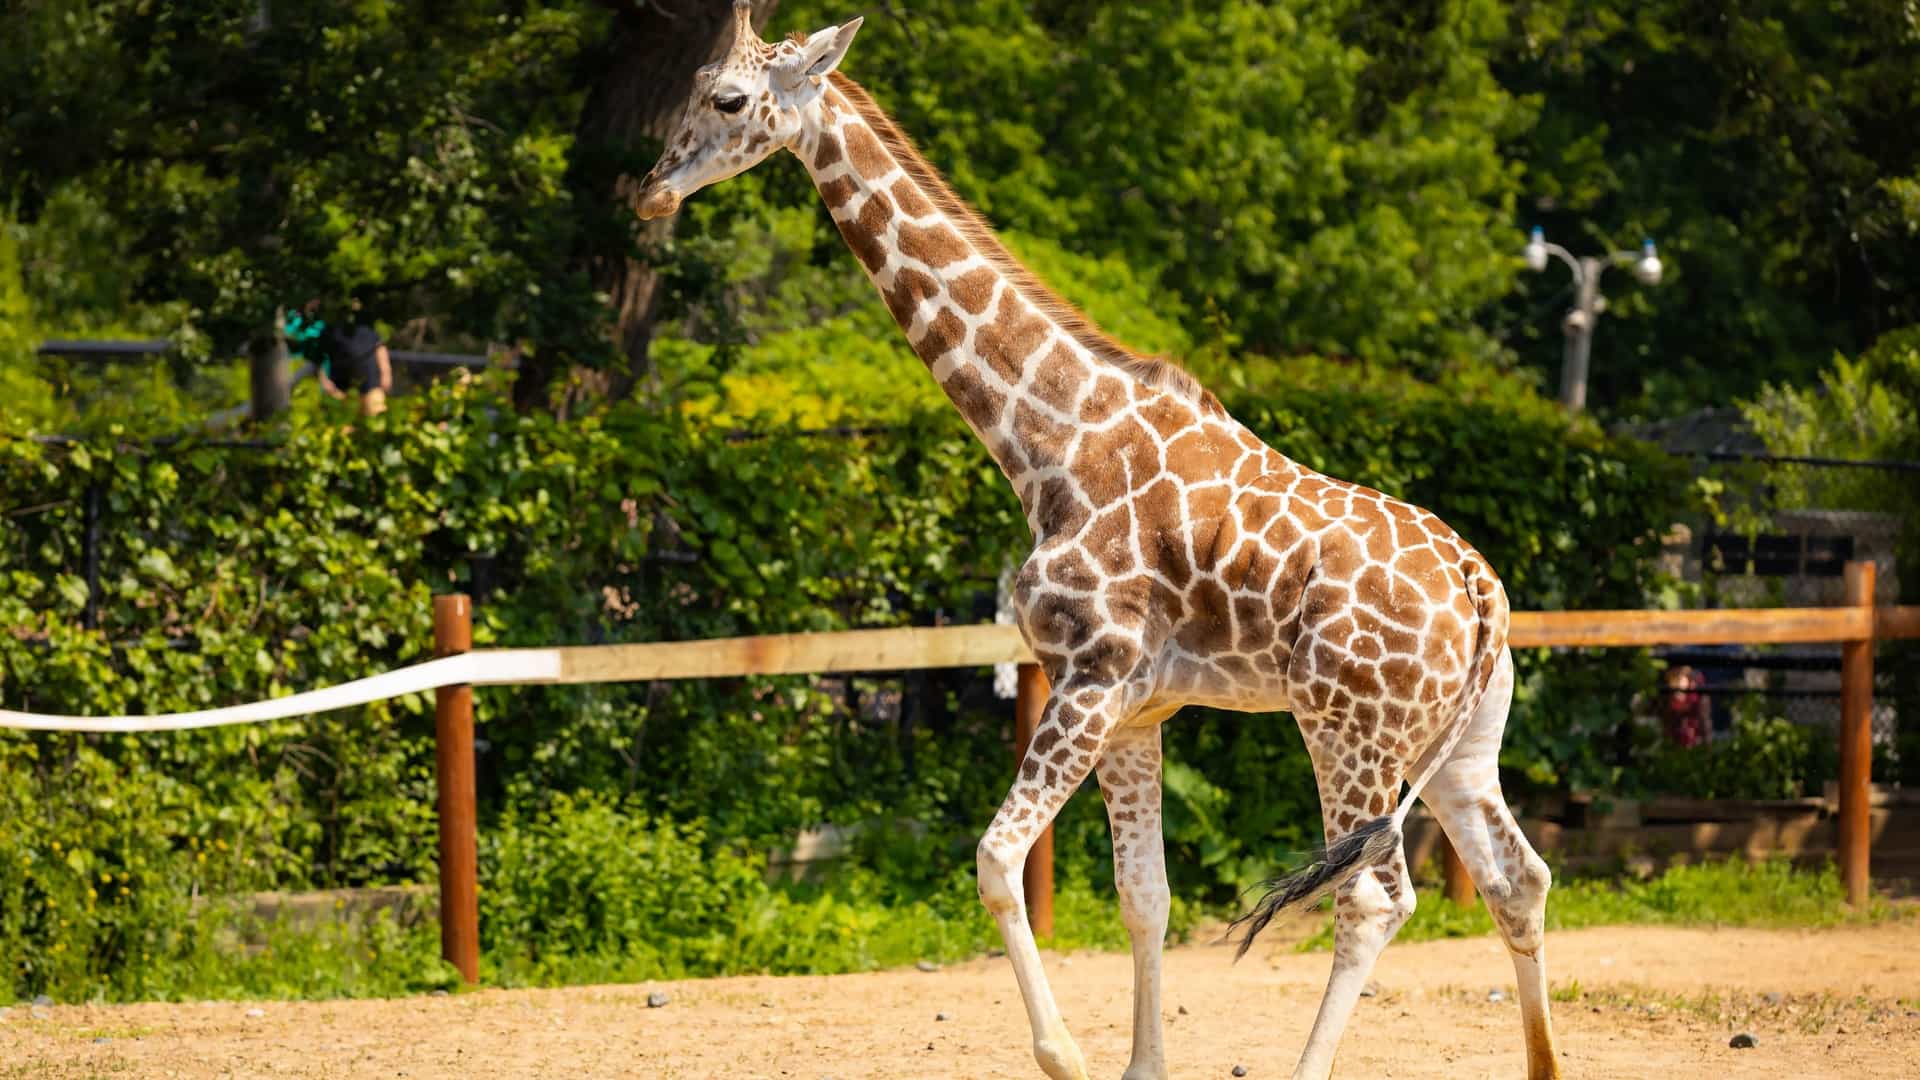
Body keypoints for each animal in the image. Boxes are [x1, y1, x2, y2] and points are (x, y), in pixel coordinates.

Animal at [636, 8, 1562, 1079]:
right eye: (695, 87)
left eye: (728, 99)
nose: (653, 187)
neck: (1051, 440)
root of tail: (1481, 586)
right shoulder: (1135, 710)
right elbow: (1143, 897)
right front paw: (1137, 1064)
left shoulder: (1087, 677)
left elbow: (998, 861)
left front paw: (1066, 1056)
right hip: (1460, 741)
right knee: (1517, 878)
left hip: (1348, 727)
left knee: (1373, 898)